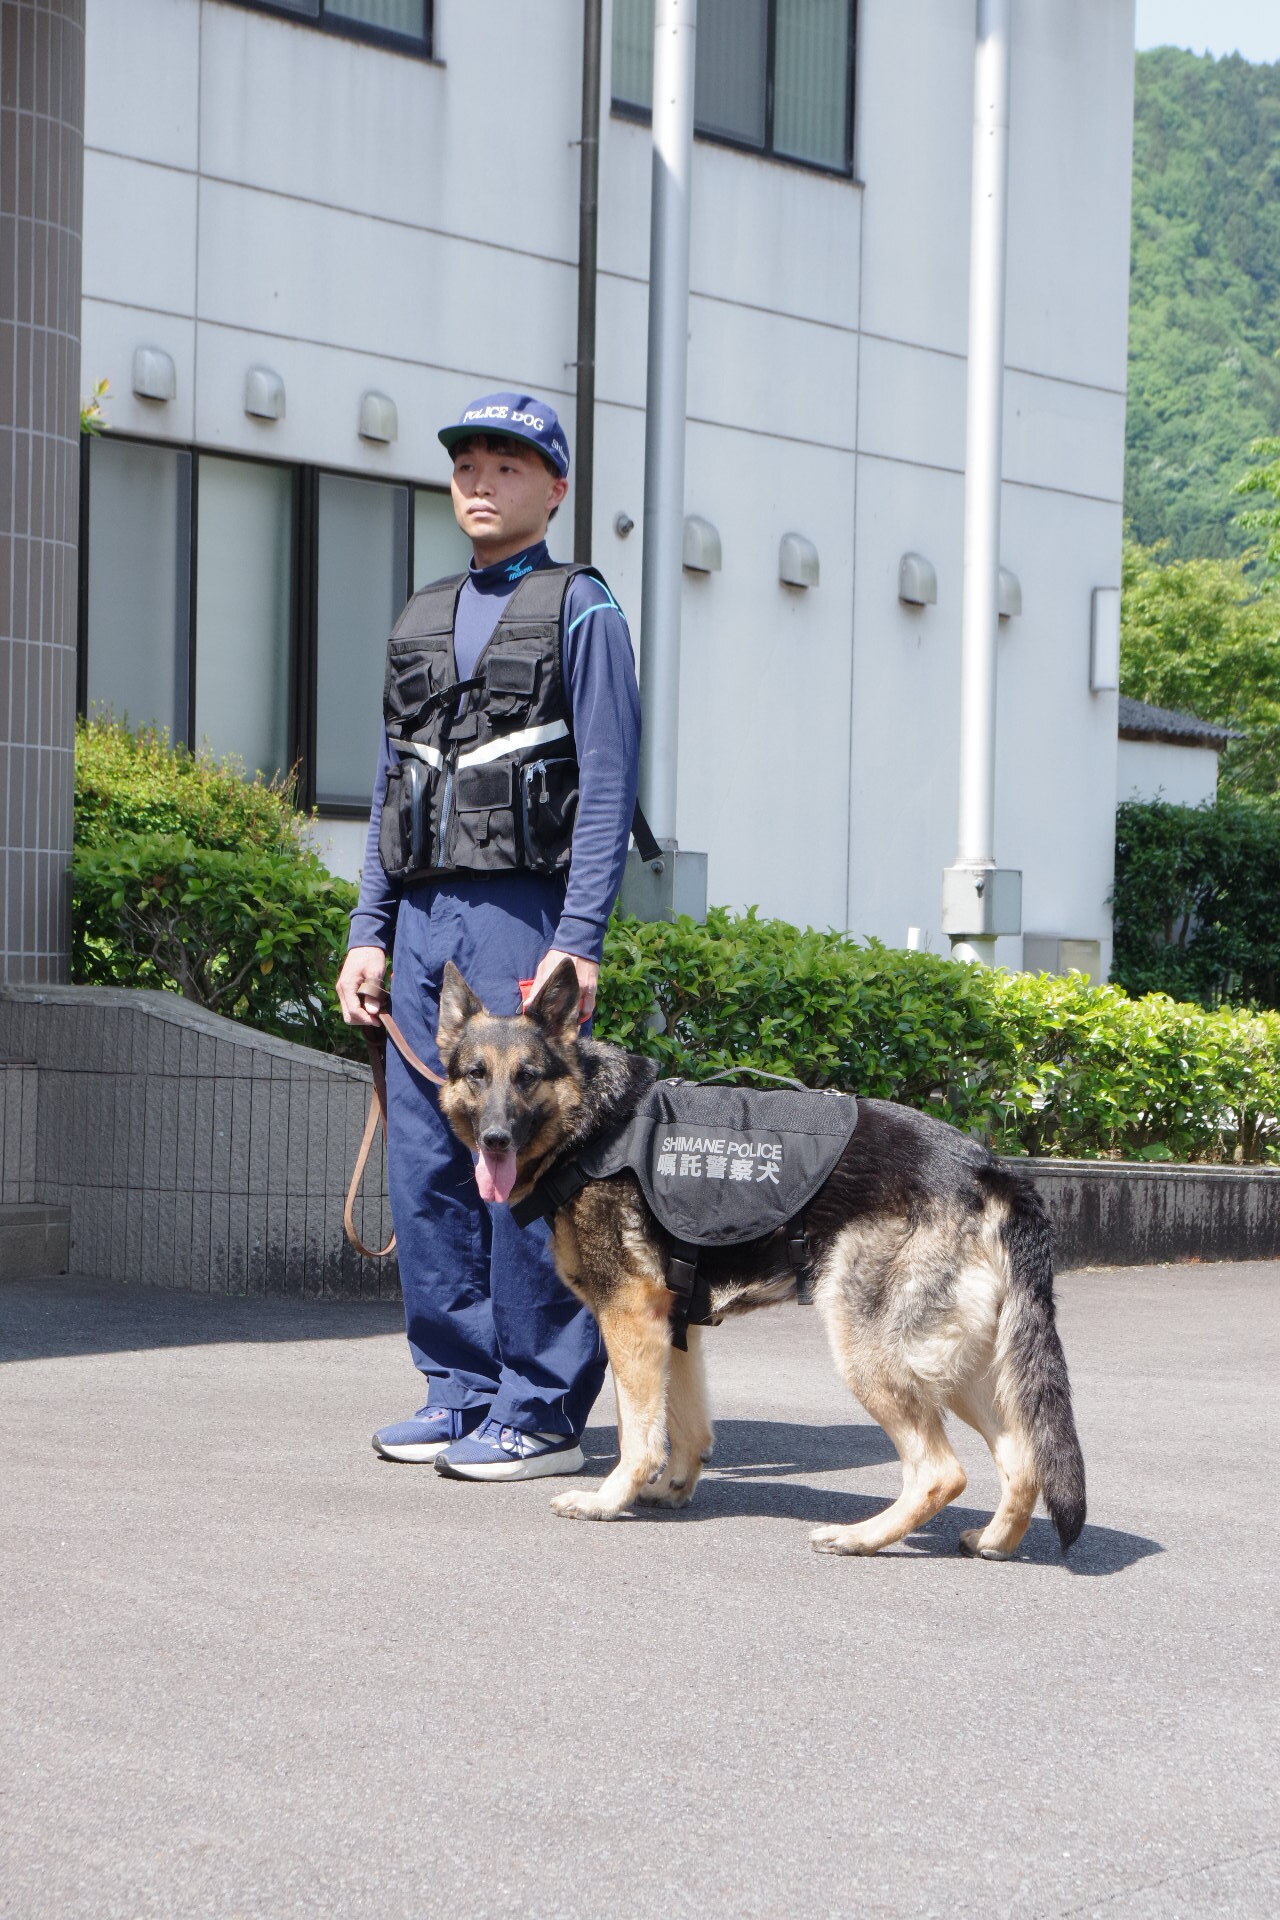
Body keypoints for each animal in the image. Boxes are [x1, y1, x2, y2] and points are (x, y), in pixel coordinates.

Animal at [435, 960, 1090, 1559]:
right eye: (476, 1074)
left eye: (527, 1077)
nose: (495, 1139)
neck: (596, 1122)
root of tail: (989, 1169)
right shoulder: (675, 1327)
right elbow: (685, 1426)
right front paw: (674, 1489)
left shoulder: (630, 1319)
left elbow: (638, 1433)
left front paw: (609, 1499)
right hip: (960, 1365)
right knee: (1024, 1458)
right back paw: (995, 1541)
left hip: (875, 1354)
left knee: (940, 1472)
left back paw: (861, 1538)